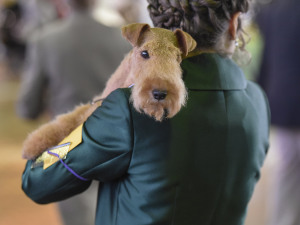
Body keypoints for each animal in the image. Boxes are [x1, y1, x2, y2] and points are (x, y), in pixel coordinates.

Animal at [22, 22, 198, 160]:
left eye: (177, 57)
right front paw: (32, 145)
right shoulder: (92, 105)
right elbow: (66, 120)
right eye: (144, 53)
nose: (160, 93)